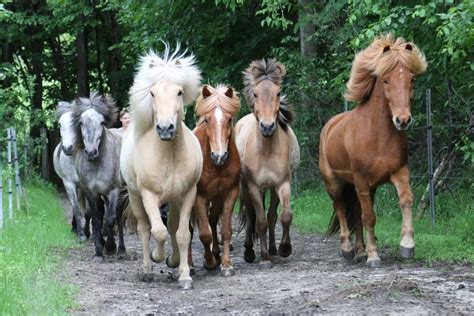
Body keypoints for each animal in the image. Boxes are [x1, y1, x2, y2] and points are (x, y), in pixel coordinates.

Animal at [120, 44, 202, 288]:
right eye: (153, 93)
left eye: (179, 92)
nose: (165, 128)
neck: (170, 155)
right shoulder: (148, 195)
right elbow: (158, 231)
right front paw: (158, 257)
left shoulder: (188, 194)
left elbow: (182, 234)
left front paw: (183, 274)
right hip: (136, 197)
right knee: (145, 229)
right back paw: (147, 268)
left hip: (173, 200)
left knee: (173, 227)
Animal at [192, 84, 241, 276]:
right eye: (207, 120)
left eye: (229, 119)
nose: (219, 156)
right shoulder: (199, 197)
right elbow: (204, 234)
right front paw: (209, 262)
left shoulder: (230, 193)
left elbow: (226, 230)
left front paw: (226, 264)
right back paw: (191, 265)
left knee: (212, 219)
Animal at [237, 58, 300, 268]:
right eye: (256, 94)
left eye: (278, 93)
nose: (267, 127)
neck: (265, 151)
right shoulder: (254, 187)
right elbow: (260, 222)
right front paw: (263, 259)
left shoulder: (283, 184)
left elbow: (284, 216)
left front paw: (284, 248)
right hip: (245, 188)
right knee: (251, 216)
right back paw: (249, 252)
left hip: (272, 188)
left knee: (272, 215)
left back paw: (273, 249)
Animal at [320, 34, 428, 266]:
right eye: (386, 80)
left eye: (412, 79)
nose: (403, 120)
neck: (378, 136)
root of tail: (329, 126)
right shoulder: (361, 180)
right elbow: (369, 217)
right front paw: (373, 256)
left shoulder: (399, 173)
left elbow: (406, 200)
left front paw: (407, 245)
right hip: (334, 183)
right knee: (340, 208)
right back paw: (347, 248)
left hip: (366, 188)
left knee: (356, 212)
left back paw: (360, 250)